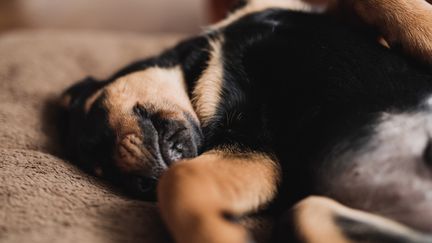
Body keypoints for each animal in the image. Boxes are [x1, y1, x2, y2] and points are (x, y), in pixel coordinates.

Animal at [59, 0, 432, 243]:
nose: (141, 184)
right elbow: (182, 180)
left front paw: (424, 32)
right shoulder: (253, 149)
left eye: (96, 133)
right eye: (105, 172)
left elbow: (365, 1)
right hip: (310, 210)